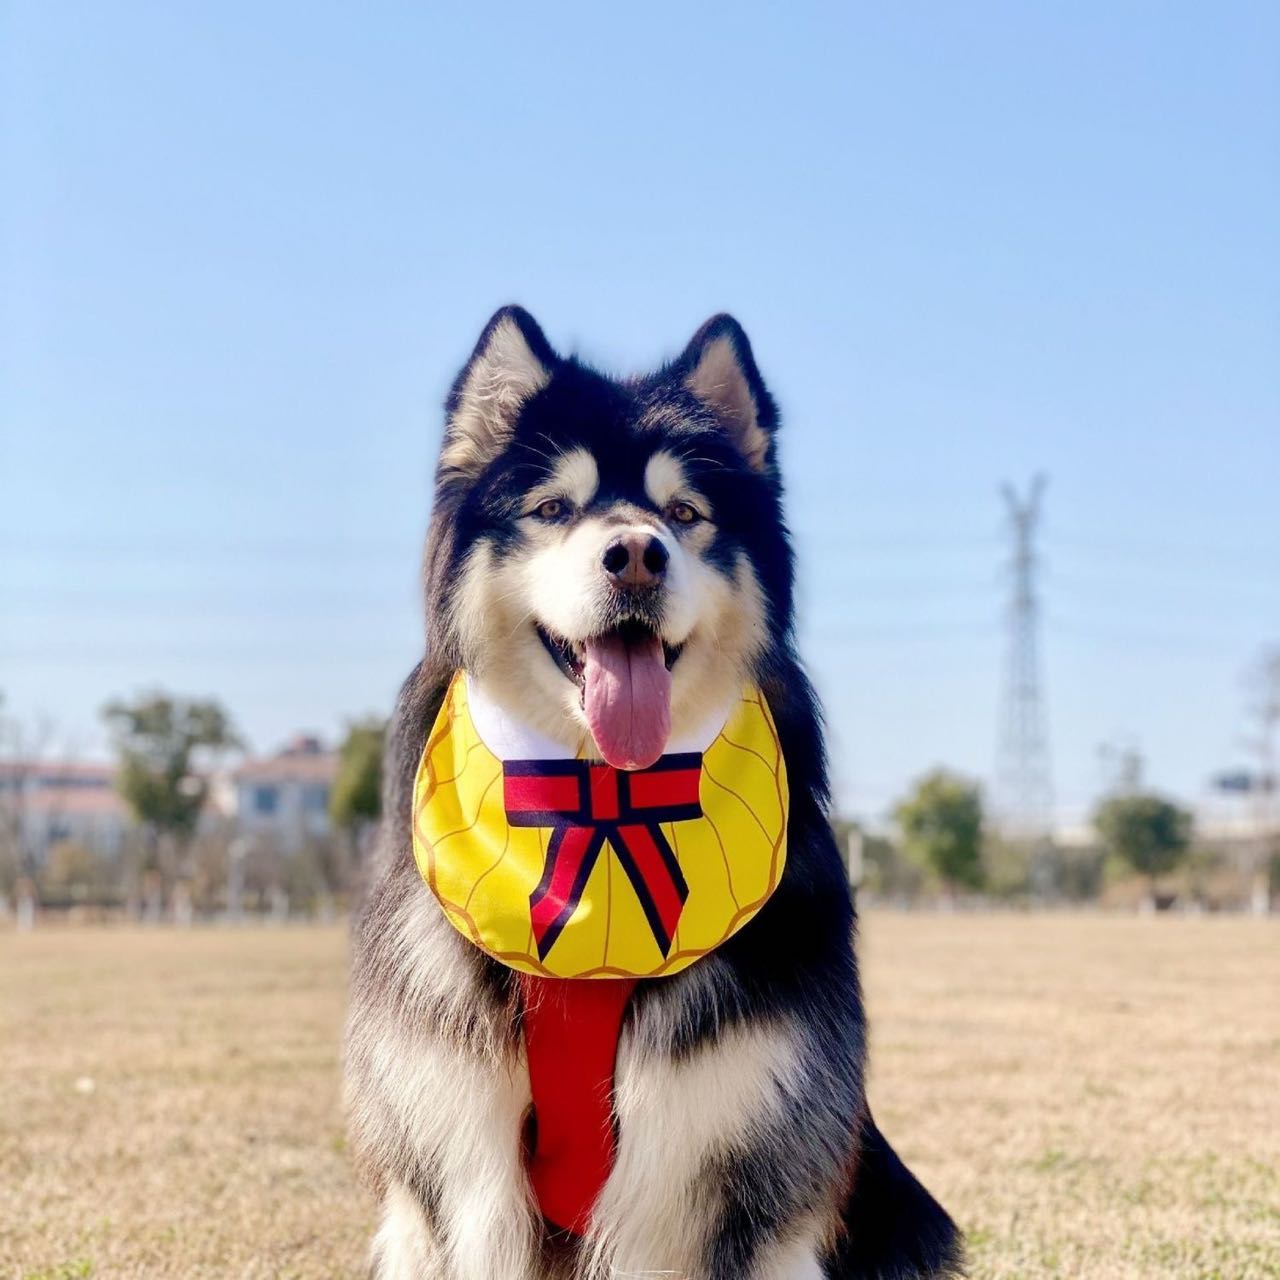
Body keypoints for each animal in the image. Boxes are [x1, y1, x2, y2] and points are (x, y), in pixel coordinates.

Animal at [343, 309, 962, 1280]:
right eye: (553, 508)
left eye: (683, 514)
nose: (635, 554)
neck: (599, 794)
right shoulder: (444, 1174)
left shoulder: (744, 1179)